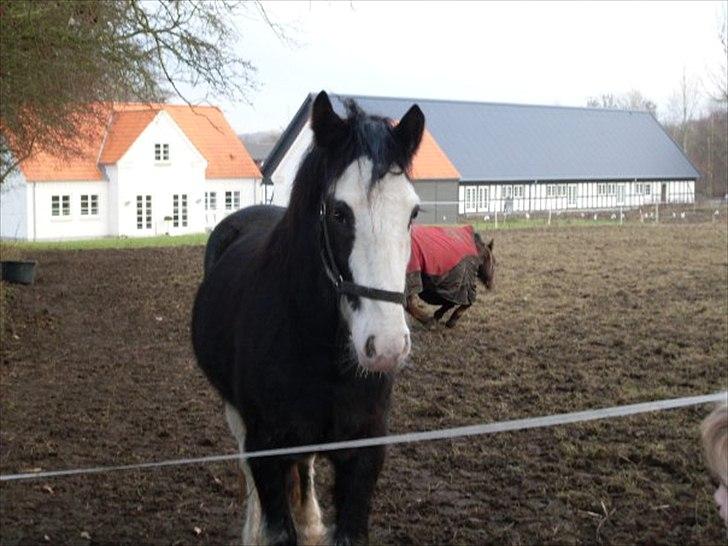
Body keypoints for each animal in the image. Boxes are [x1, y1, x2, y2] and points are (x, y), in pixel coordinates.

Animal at [193, 91, 424, 540]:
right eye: (338, 213)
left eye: (413, 213)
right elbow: (276, 522)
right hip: (236, 415)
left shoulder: (364, 453)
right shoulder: (265, 447)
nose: (387, 346)